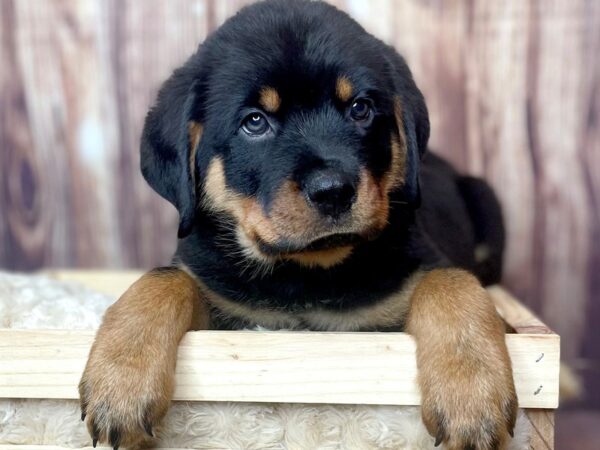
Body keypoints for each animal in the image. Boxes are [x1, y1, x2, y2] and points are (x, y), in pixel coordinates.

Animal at [79, 1, 516, 448]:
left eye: (360, 109)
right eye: (255, 122)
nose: (333, 191)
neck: (307, 271)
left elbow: (451, 280)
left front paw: (471, 394)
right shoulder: (225, 301)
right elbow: (163, 279)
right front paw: (122, 380)